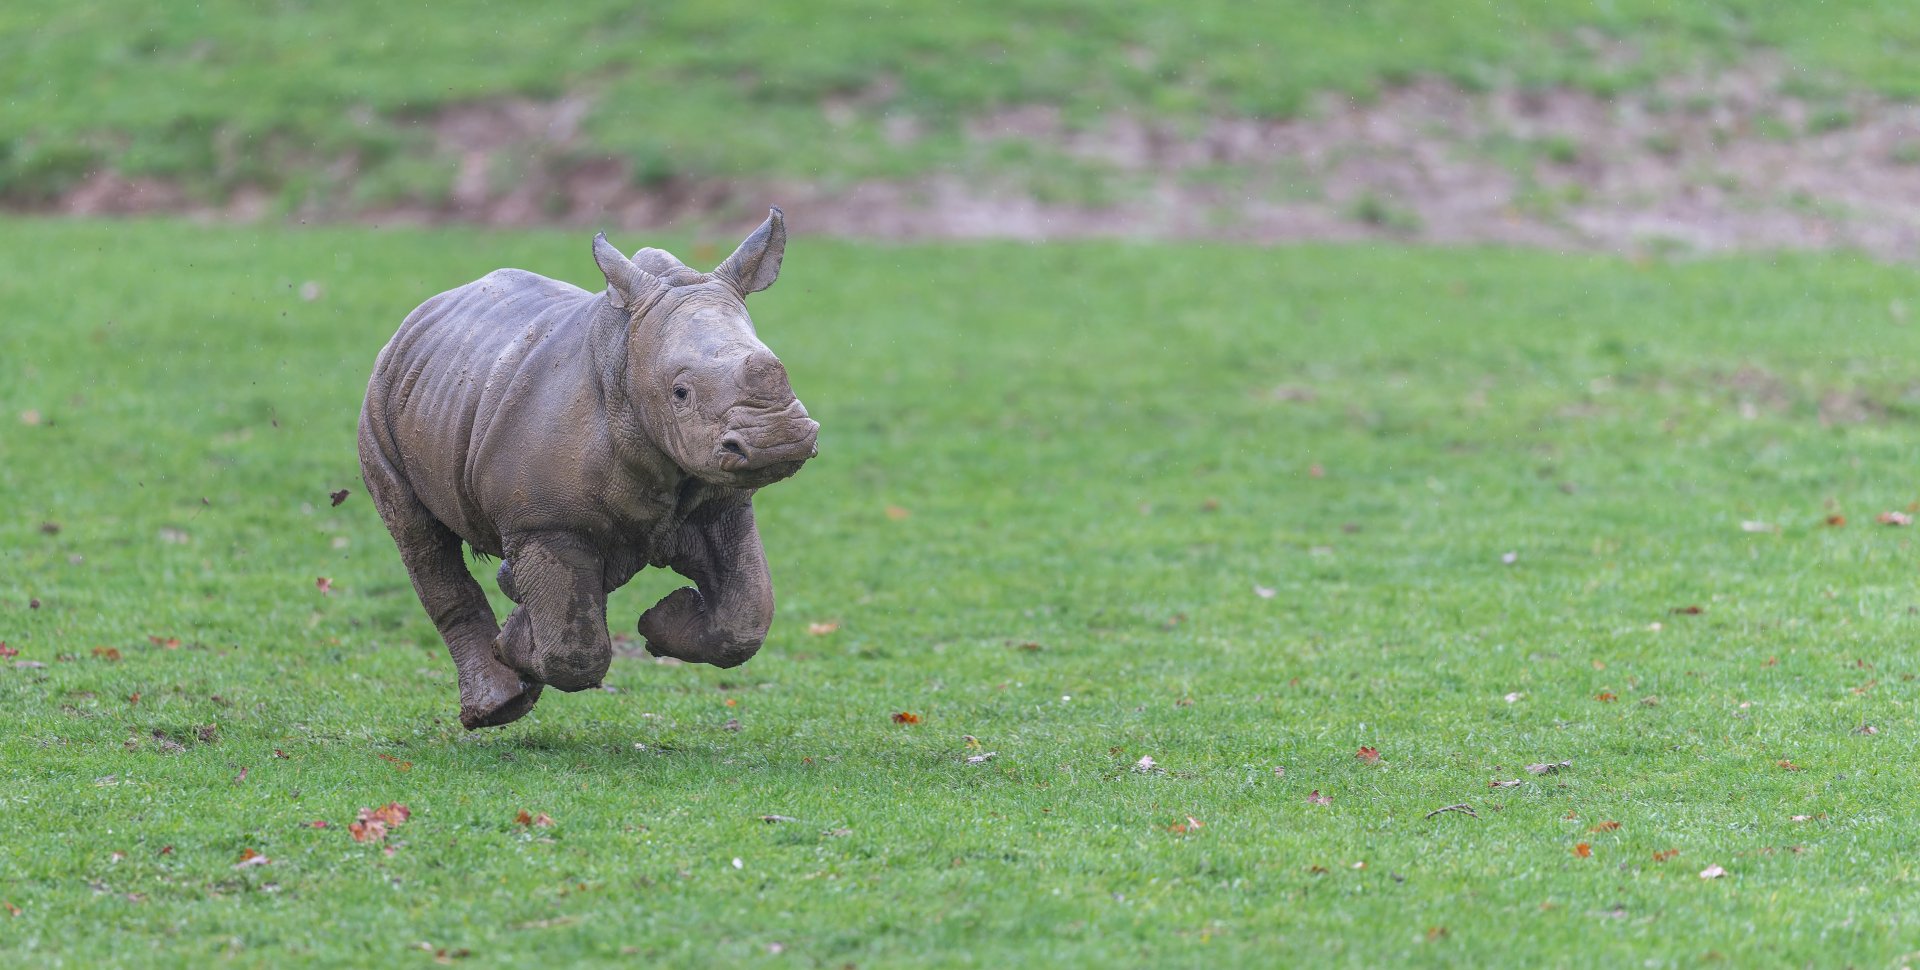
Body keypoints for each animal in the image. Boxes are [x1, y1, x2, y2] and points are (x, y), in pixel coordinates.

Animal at [358, 208, 817, 729]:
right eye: (680, 393)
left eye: (780, 365)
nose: (778, 439)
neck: (627, 363)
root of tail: (421, 315)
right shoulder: (544, 521)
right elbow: (574, 651)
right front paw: (517, 647)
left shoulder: (722, 505)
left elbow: (746, 617)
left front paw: (662, 621)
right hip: (381, 400)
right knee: (420, 537)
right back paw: (498, 707)